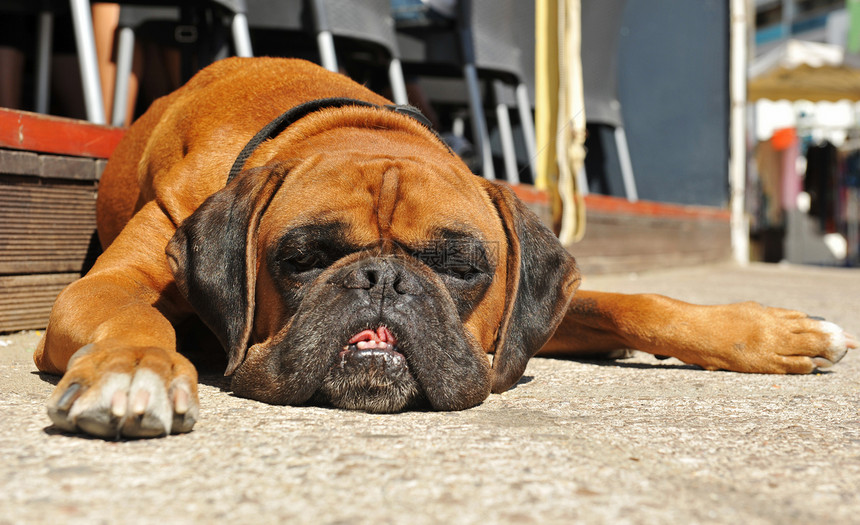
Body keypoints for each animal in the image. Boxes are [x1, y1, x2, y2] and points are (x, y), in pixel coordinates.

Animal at [31, 57, 852, 438]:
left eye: (460, 266)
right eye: (302, 259)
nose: (382, 279)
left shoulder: (530, 313)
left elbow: (638, 299)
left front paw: (770, 332)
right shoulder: (101, 287)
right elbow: (137, 318)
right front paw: (136, 371)